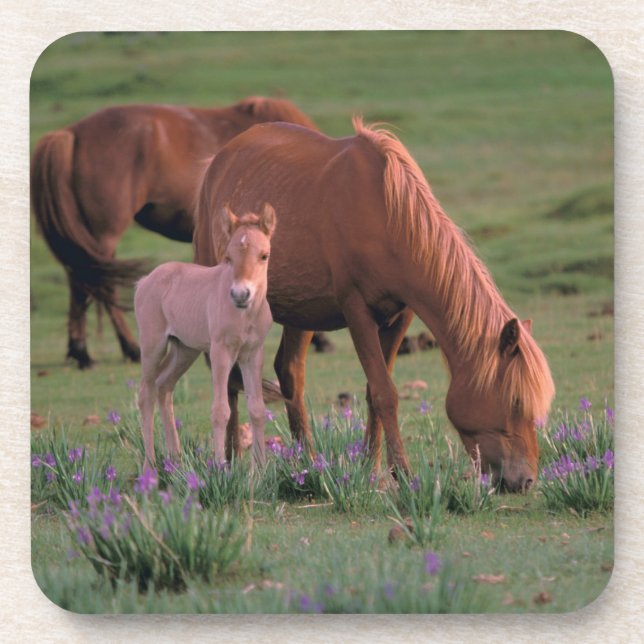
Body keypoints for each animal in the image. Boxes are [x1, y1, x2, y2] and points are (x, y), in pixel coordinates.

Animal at [30, 96, 315, 369]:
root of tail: (69, 133)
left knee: (80, 281)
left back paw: (81, 352)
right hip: (103, 236)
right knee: (99, 286)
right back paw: (125, 348)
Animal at [135, 203, 276, 468]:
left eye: (264, 255)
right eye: (228, 258)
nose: (240, 294)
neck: (245, 314)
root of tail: (146, 280)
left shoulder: (253, 353)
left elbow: (257, 408)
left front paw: (260, 471)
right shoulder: (221, 351)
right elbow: (220, 410)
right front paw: (221, 468)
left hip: (184, 349)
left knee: (164, 386)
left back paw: (176, 461)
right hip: (152, 345)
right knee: (145, 393)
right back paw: (150, 465)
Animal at [193, 118, 556, 493]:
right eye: (515, 401)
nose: (526, 479)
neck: (388, 216)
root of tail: (218, 163)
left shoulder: (401, 314)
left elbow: (373, 392)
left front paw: (372, 466)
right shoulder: (357, 311)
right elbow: (385, 394)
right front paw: (403, 472)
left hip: (301, 313)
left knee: (289, 373)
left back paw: (307, 461)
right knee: (228, 380)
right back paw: (231, 460)